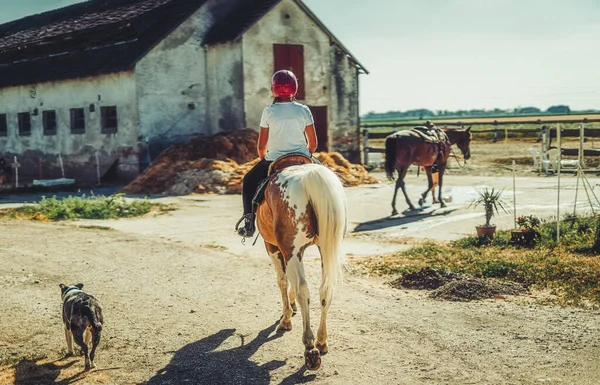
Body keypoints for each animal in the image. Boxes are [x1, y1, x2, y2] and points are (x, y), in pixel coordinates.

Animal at [254, 153, 346, 368]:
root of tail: (310, 176)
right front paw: (292, 305)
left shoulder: (272, 247)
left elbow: (282, 281)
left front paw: (286, 318)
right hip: (324, 248)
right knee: (325, 290)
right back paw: (321, 341)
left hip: (290, 250)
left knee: (303, 289)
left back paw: (309, 346)